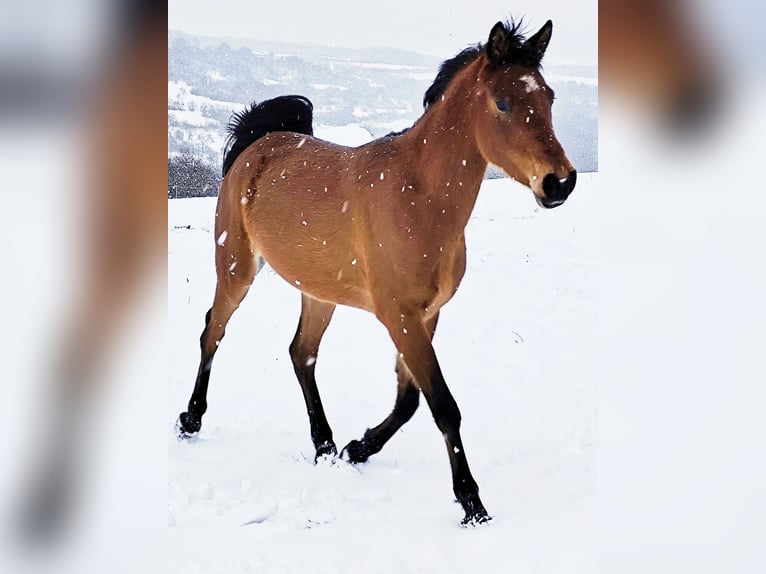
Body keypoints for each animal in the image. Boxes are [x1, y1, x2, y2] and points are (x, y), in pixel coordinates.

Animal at [176, 19, 576, 526]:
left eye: (548, 97)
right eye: (502, 102)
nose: (560, 182)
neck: (420, 197)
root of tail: (258, 146)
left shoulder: (425, 315)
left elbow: (409, 401)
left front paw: (358, 447)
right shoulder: (399, 316)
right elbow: (443, 406)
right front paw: (472, 504)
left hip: (319, 293)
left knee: (301, 353)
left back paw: (325, 444)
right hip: (236, 268)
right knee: (213, 331)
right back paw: (191, 419)